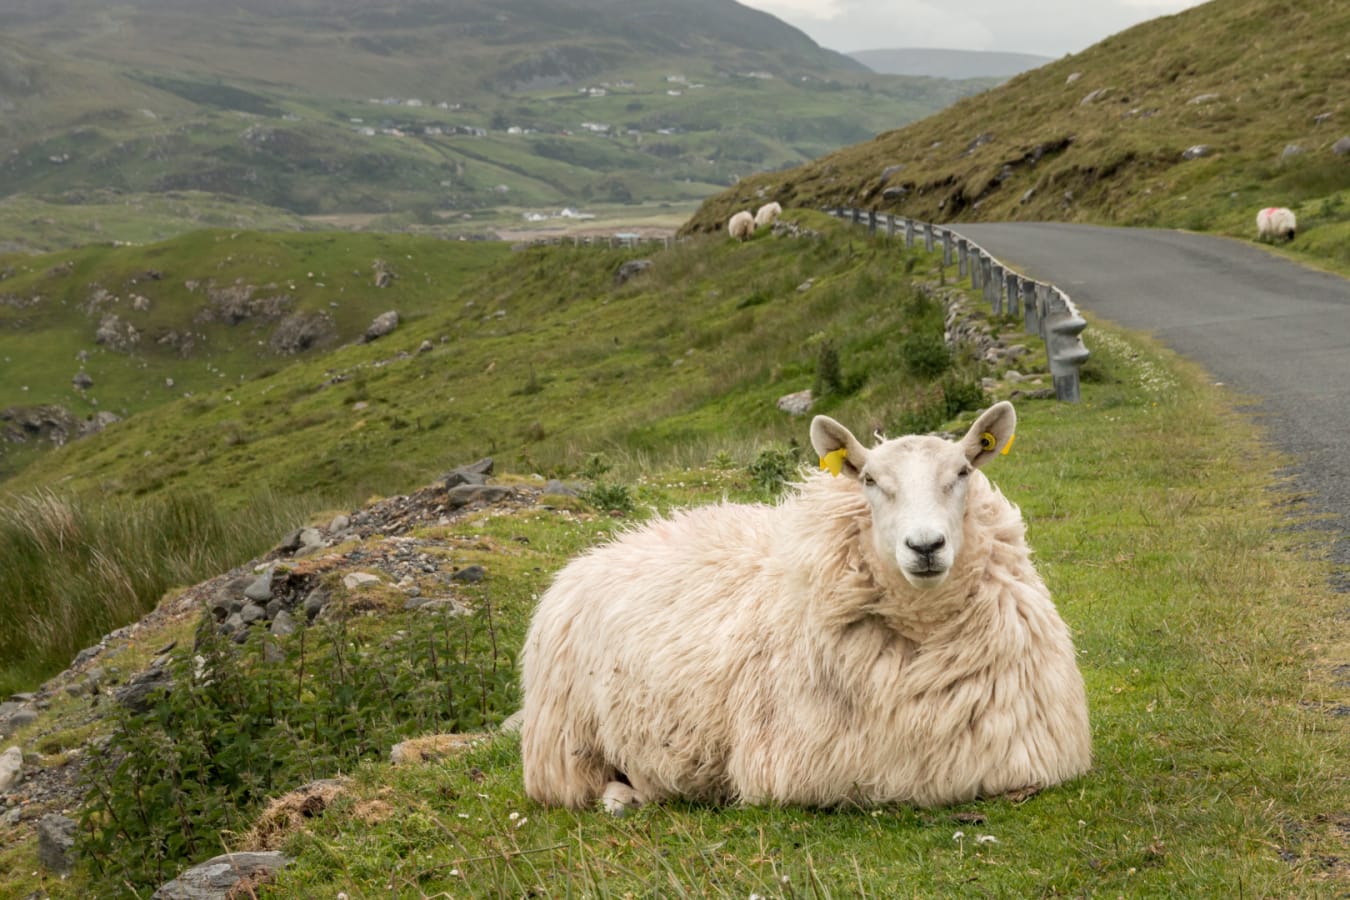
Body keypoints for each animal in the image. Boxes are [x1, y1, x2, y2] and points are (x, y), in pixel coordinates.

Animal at [521, 402, 1091, 813]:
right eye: (869, 480)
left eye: (964, 470)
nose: (926, 546)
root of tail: (603, 548)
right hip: (566, 743)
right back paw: (625, 797)